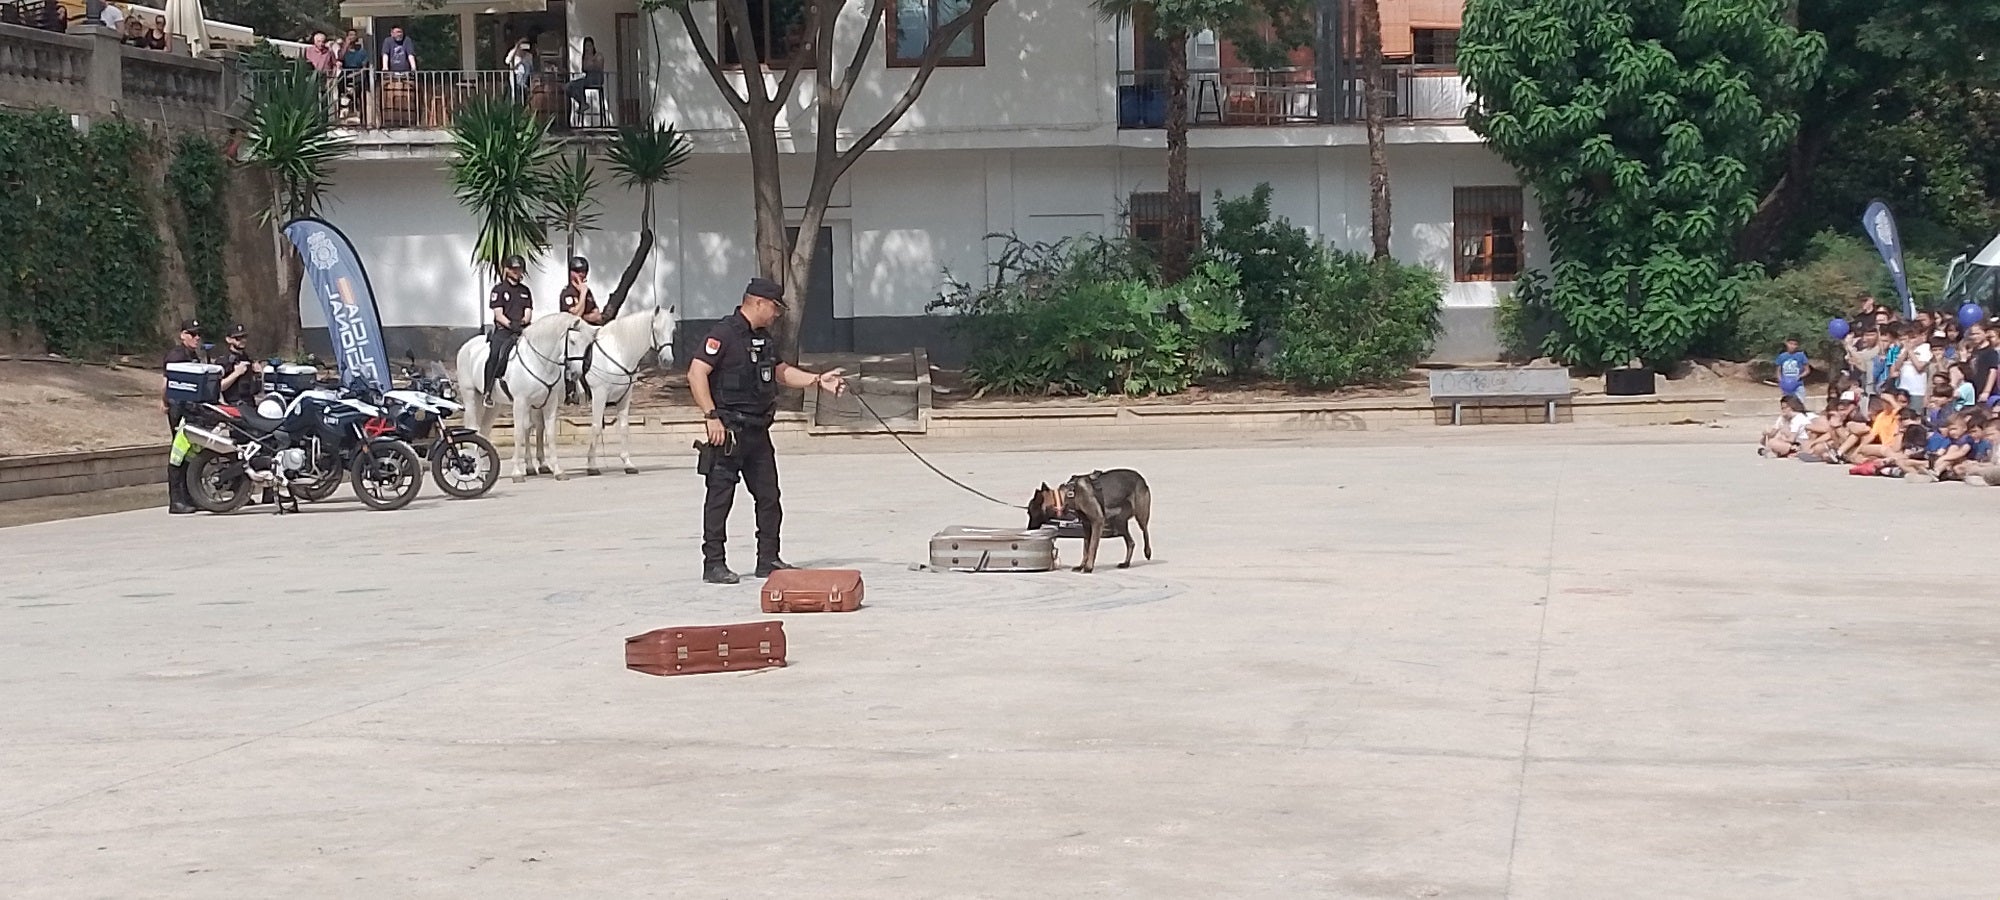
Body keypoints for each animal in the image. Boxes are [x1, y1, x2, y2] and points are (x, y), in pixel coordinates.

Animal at [462, 312, 592, 482]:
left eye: (588, 344)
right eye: (572, 341)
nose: (577, 373)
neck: (539, 362)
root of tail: (468, 345)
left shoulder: (548, 403)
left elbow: (548, 434)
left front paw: (557, 470)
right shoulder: (520, 402)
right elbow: (519, 433)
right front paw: (517, 472)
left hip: (495, 405)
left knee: (484, 431)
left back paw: (484, 470)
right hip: (471, 397)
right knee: (473, 427)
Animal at [580, 304, 680, 478]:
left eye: (673, 330)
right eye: (656, 329)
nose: (667, 361)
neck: (616, 353)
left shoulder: (625, 397)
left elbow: (624, 427)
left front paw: (627, 463)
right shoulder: (599, 396)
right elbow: (596, 427)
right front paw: (592, 465)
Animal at [1032, 468, 1160, 572]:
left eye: (1031, 512)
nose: (1030, 529)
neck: (1070, 494)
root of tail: (1142, 479)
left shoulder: (1097, 522)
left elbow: (1092, 547)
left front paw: (1088, 567)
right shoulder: (1087, 526)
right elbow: (1085, 549)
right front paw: (1081, 565)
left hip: (1140, 515)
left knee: (1145, 531)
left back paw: (1147, 552)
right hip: (1119, 522)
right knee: (1131, 543)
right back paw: (1126, 563)